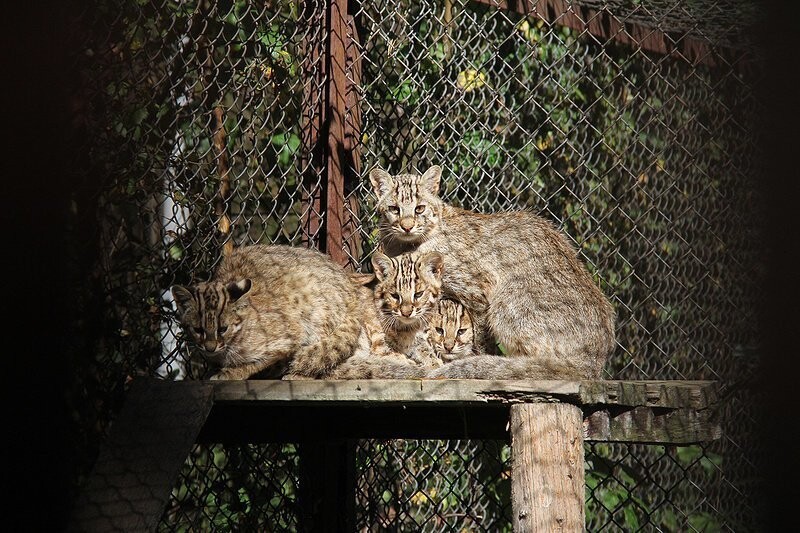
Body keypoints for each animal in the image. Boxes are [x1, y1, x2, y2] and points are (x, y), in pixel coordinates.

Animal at [173, 243, 394, 380]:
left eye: (223, 329)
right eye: (197, 330)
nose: (209, 348)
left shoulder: (290, 336)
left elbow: (259, 361)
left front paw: (231, 372)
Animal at [372, 164, 616, 376]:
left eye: (419, 208)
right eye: (394, 209)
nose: (407, 226)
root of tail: (594, 363)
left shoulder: (477, 292)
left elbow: (480, 337)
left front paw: (476, 358)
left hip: (507, 300)